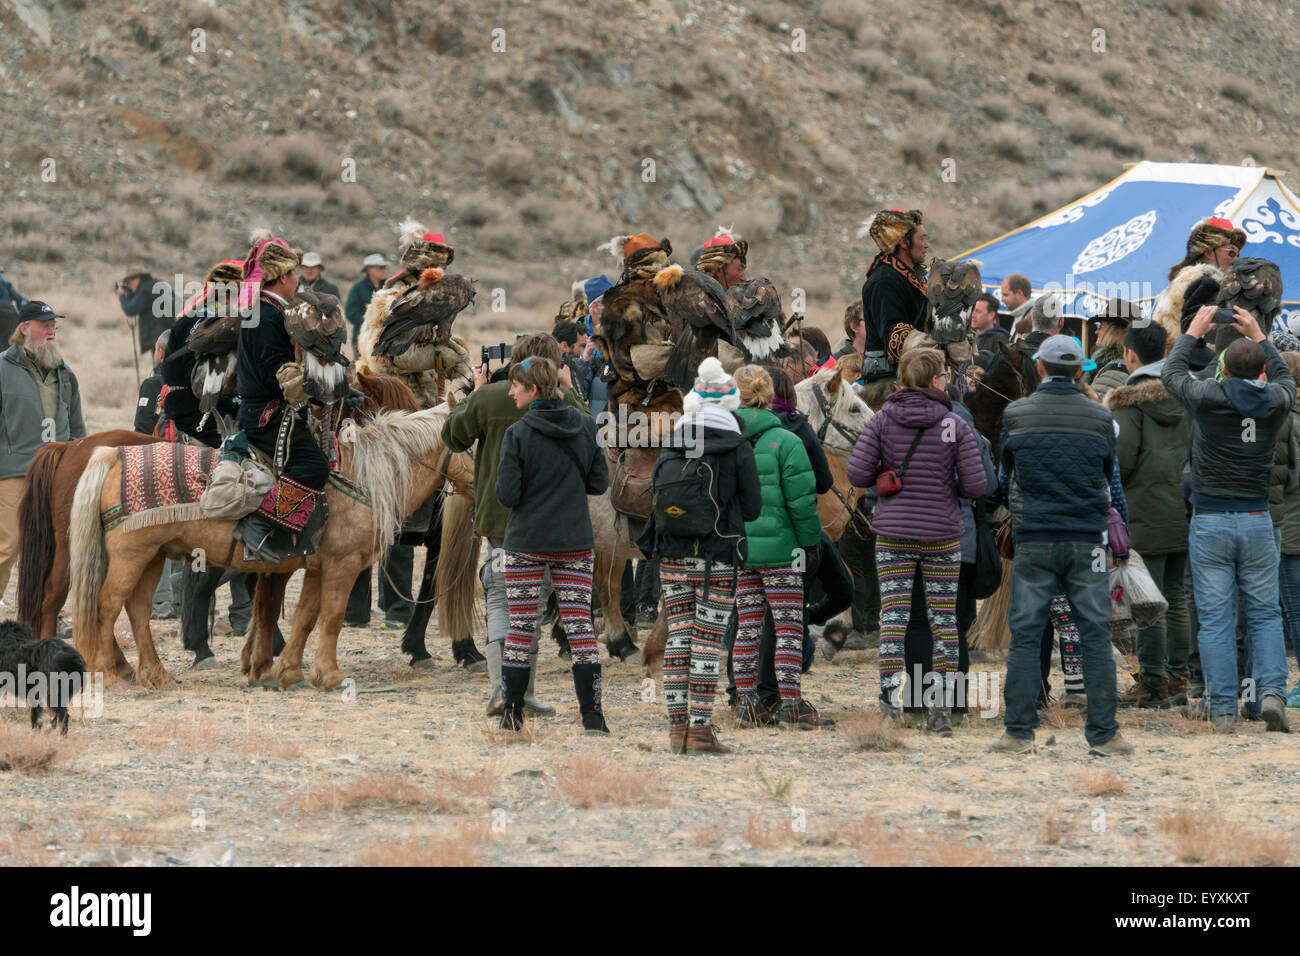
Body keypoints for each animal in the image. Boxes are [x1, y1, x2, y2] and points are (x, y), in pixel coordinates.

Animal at [65, 408, 473, 691]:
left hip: (152, 557)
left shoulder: (316, 567)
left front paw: (289, 672)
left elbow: (306, 616)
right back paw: (109, 674)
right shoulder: (341, 565)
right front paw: (331, 676)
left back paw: (157, 674)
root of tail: (112, 456)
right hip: (130, 556)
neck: (363, 477)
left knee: (136, 609)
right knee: (106, 606)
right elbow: (332, 617)